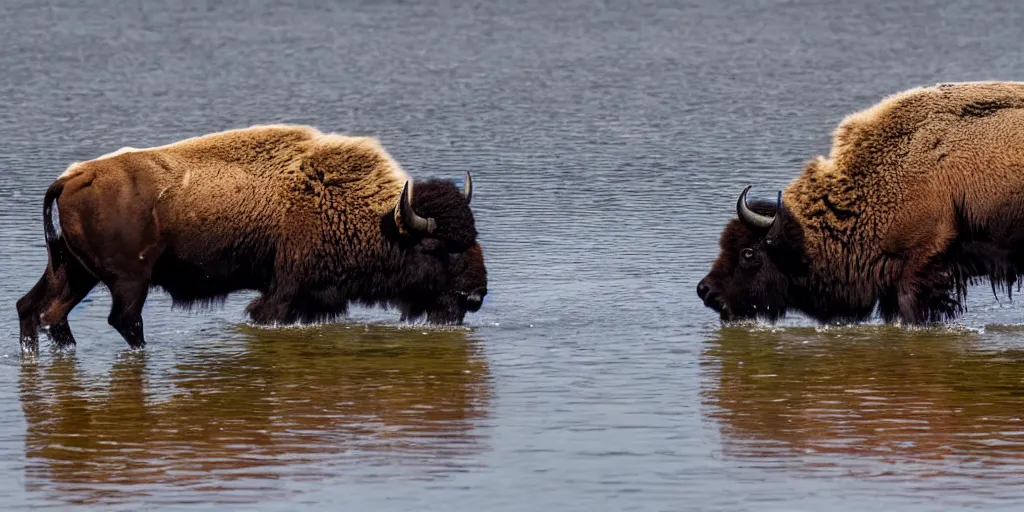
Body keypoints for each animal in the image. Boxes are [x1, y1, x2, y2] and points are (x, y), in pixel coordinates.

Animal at [16, 124, 487, 352]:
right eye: (438, 248)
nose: (476, 296)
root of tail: (72, 177)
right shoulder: (284, 292)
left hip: (74, 271)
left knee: (38, 310)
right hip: (128, 281)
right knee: (121, 320)